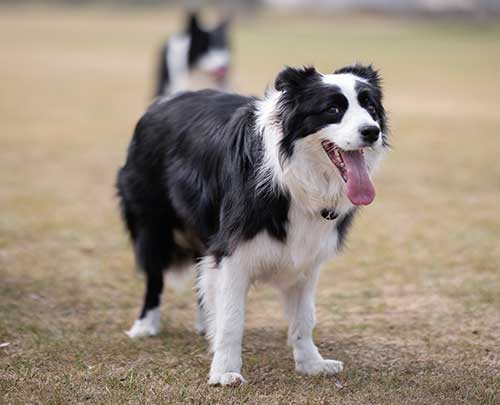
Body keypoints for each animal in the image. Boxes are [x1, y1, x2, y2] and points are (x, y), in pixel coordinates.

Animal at [117, 64, 386, 386]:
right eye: (332, 109)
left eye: (371, 108)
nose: (372, 131)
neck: (294, 177)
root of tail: (161, 102)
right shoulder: (233, 252)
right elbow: (232, 319)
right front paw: (225, 371)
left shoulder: (307, 258)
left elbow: (304, 317)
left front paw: (311, 363)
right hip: (152, 222)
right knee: (155, 277)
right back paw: (146, 325)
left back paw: (205, 323)